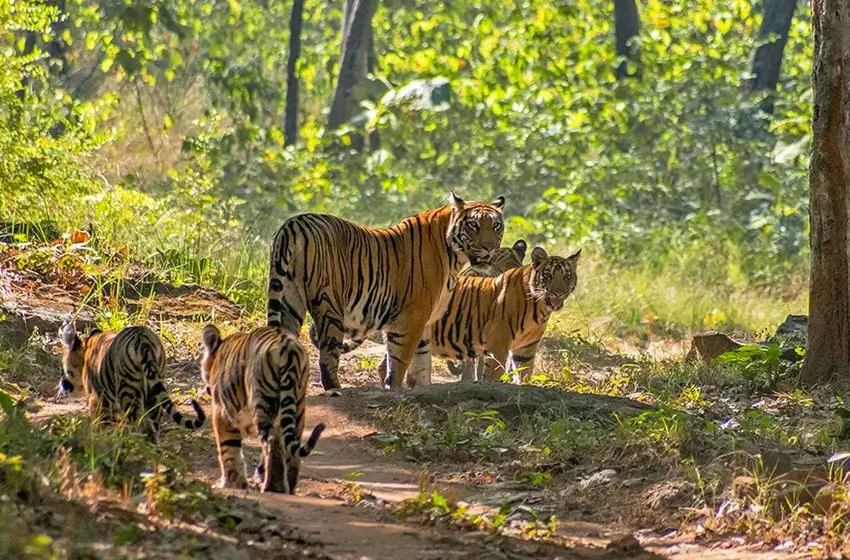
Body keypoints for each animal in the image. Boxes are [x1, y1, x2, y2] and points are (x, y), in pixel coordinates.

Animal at [58, 324, 206, 442]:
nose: (62, 384)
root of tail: (143, 340)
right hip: (154, 390)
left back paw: (136, 444)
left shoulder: (97, 398)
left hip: (128, 391)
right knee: (153, 423)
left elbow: (100, 423)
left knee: (138, 423)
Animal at [201, 324, 325, 494]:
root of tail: (288, 347)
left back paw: (273, 487)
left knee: (272, 441)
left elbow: (228, 448)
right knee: (291, 445)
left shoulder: (222, 411)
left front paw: (231, 483)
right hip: (298, 405)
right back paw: (289, 486)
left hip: (263, 402)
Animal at [267, 192, 506, 391]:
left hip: (289, 300)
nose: (489, 247)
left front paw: (421, 388)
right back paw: (334, 389)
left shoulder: (426, 321)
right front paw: (396, 389)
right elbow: (400, 360)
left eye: (496, 226)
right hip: (329, 304)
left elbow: (421, 362)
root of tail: (294, 224)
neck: (455, 257)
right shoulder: (411, 318)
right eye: (473, 224)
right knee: (328, 353)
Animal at [377, 246, 580, 384]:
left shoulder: (526, 348)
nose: (558, 293)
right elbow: (492, 375)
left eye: (566, 276)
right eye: (547, 275)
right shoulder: (498, 345)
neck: (540, 307)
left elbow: (524, 375)